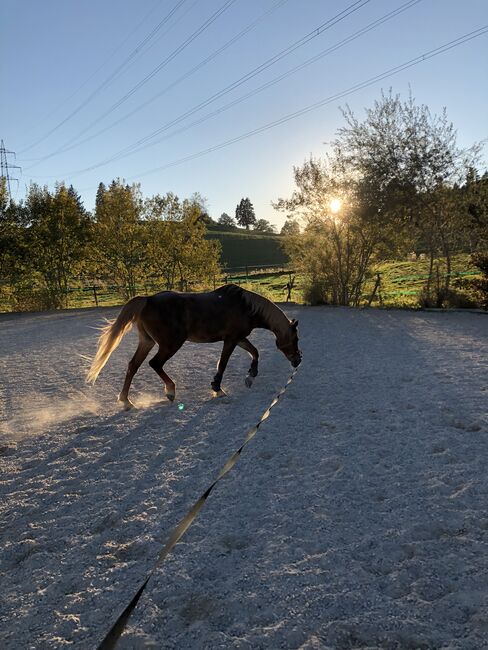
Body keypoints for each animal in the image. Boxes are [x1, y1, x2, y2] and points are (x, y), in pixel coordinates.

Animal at [87, 282, 302, 408]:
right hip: (170, 344)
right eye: (296, 339)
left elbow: (255, 352)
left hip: (147, 342)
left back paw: (126, 401)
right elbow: (223, 363)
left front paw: (250, 376)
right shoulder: (231, 340)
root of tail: (148, 300)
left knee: (133, 366)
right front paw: (217, 388)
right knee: (155, 364)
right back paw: (170, 391)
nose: (298, 360)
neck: (246, 307)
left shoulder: (239, 338)